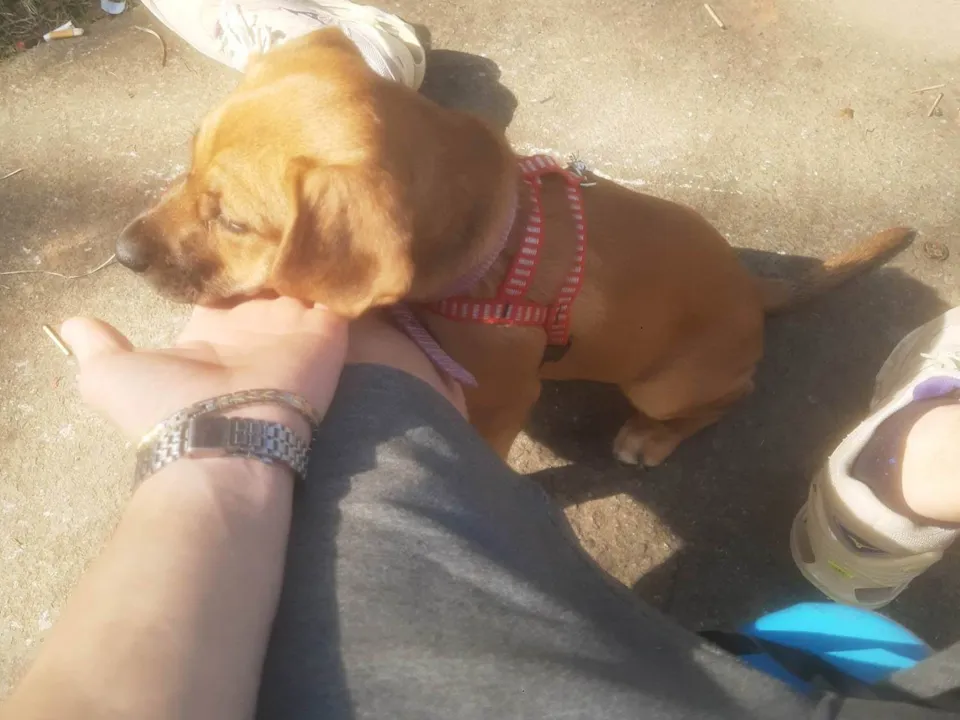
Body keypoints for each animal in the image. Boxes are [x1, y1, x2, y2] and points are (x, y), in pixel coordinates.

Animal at [116, 29, 913, 465]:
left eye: (233, 222)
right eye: (187, 162)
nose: (122, 254)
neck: (487, 250)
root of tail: (756, 288)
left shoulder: (504, 399)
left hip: (666, 384)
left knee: (731, 396)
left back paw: (651, 438)